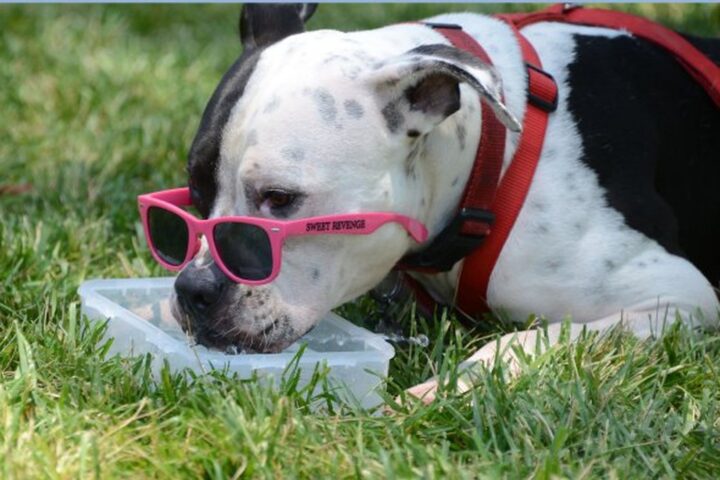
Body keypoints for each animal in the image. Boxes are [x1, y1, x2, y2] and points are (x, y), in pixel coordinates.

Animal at [171, 4, 720, 402]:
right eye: (196, 192)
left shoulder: (675, 297)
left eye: (280, 198)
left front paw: (439, 390)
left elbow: (529, 338)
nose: (191, 290)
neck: (490, 164)